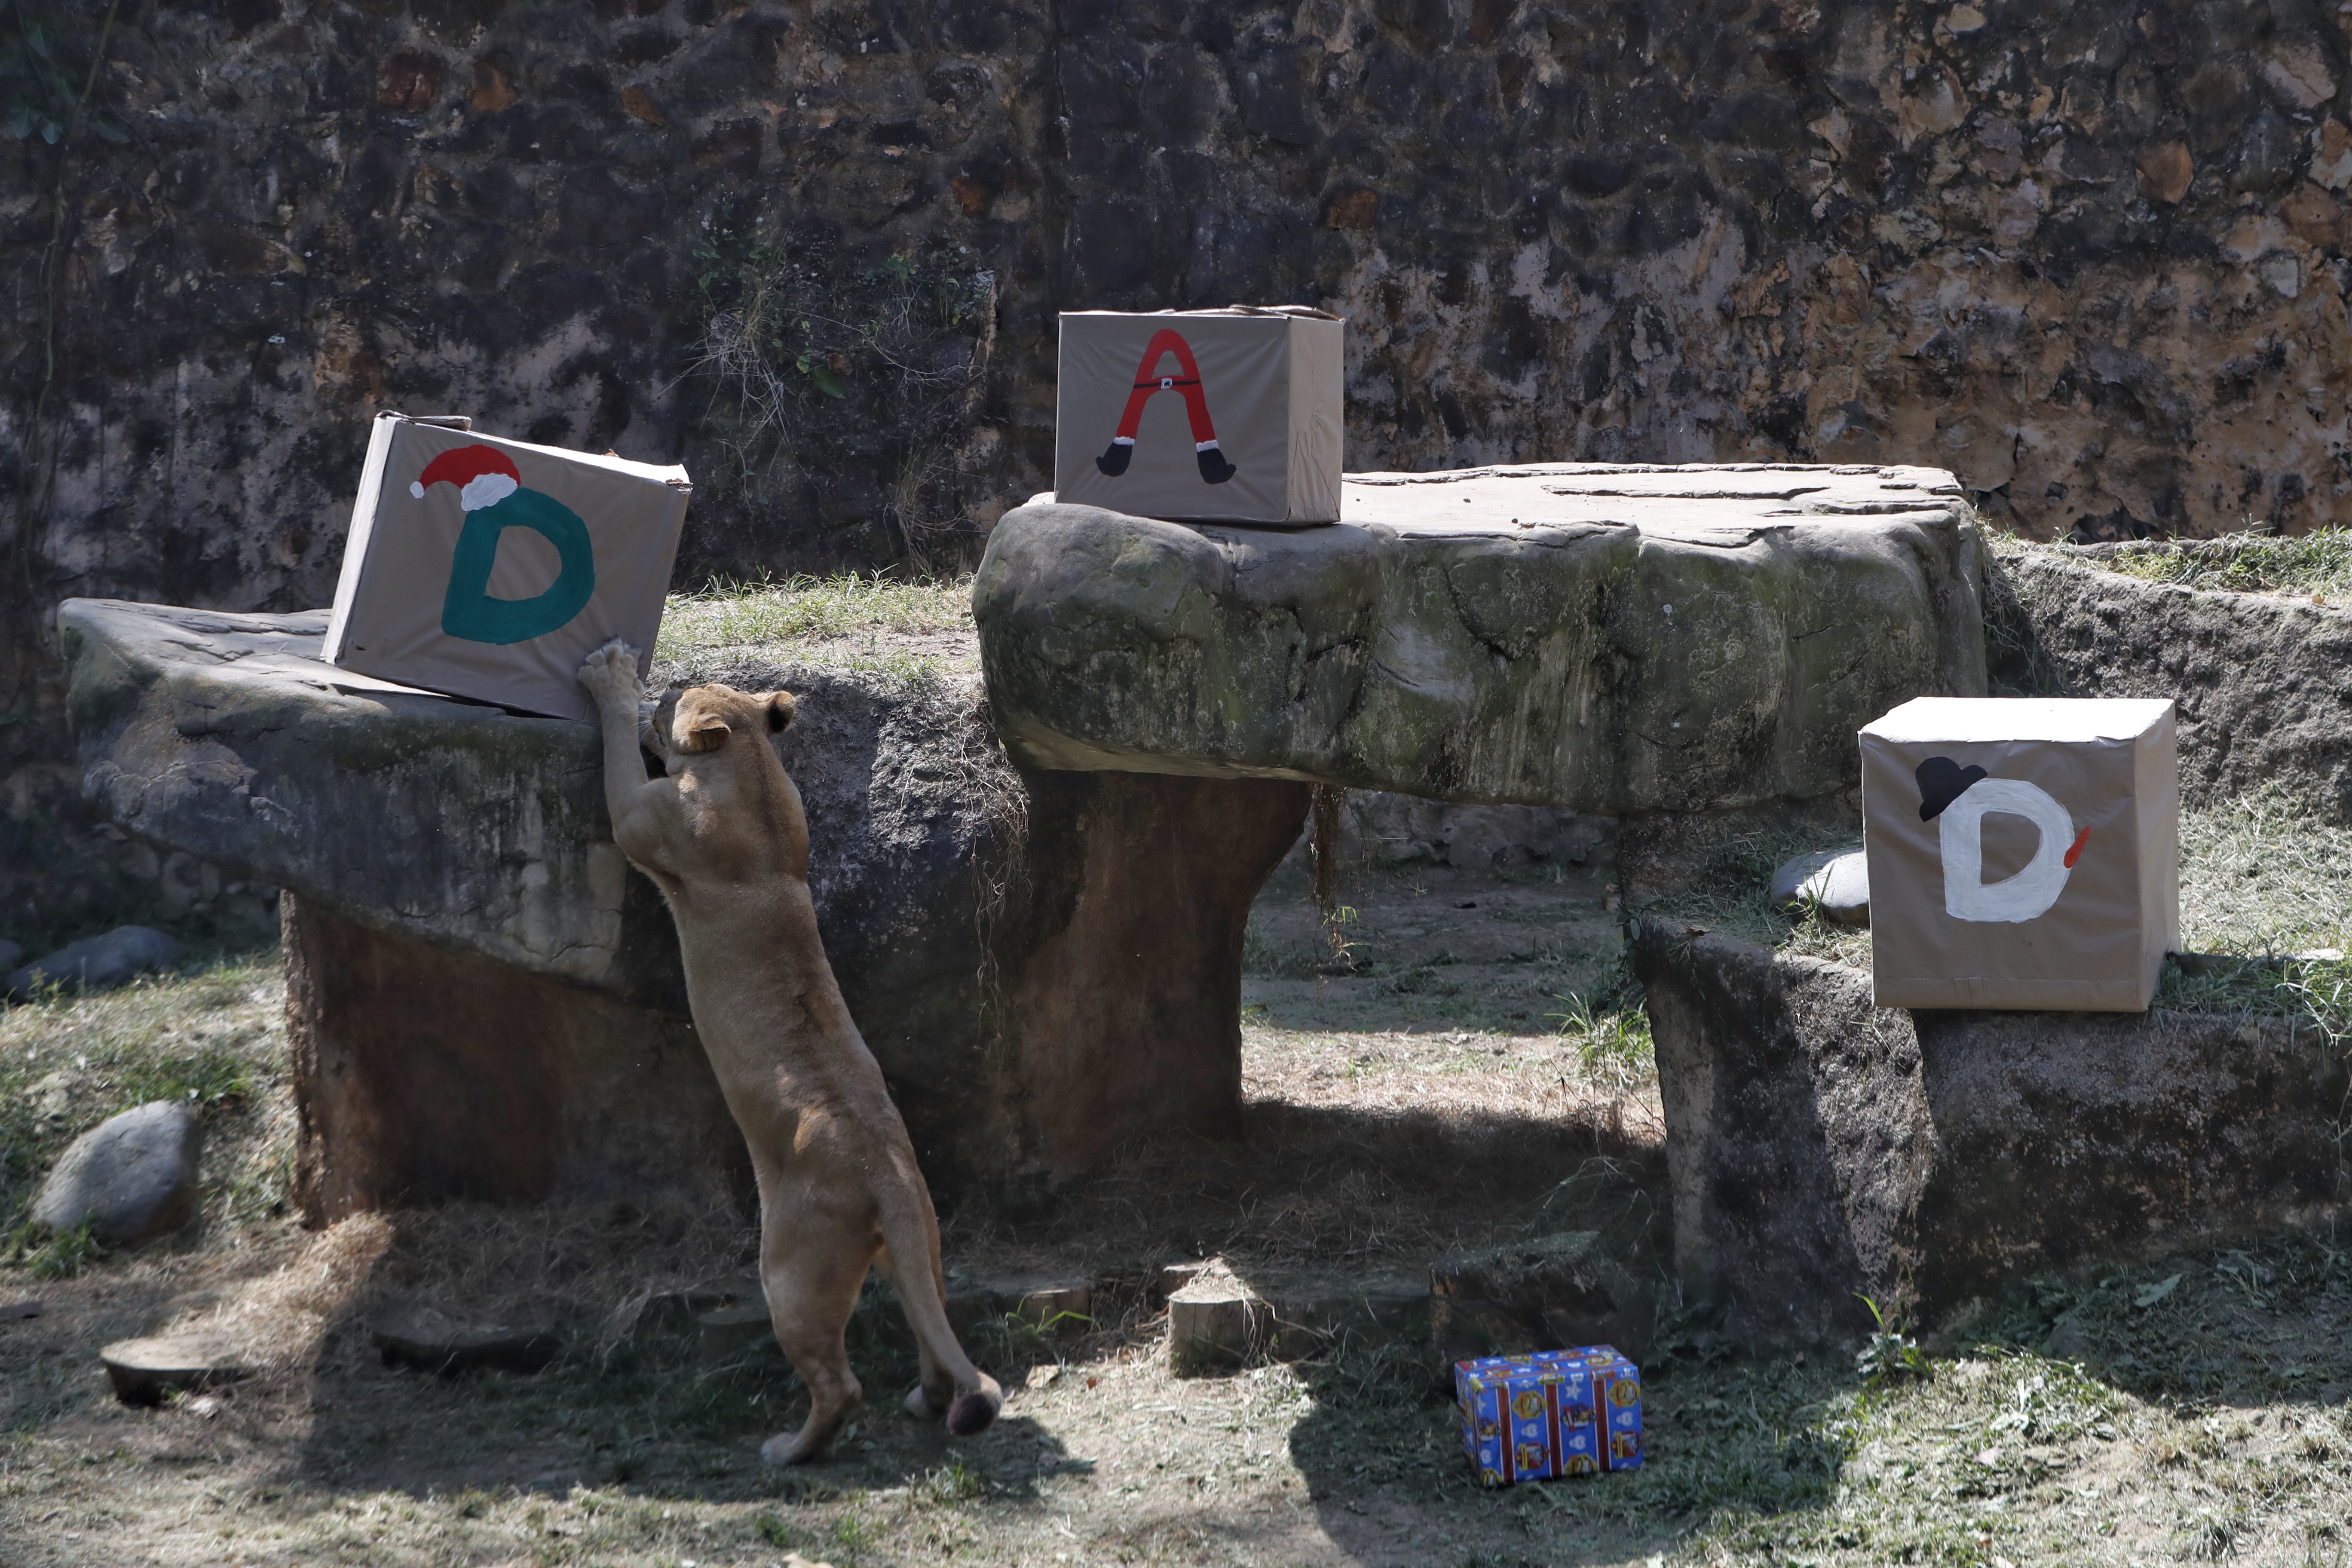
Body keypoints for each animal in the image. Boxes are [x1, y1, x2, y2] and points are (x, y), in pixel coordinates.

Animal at [578, 640, 1003, 1463]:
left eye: (670, 699)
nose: (659, 688)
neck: (752, 775)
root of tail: (889, 1176)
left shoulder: (644, 820)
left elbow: (617, 760)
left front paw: (612, 680)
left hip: (789, 1273)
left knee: (839, 1386)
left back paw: (787, 1450)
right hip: (919, 1247)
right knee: (932, 1329)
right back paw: (924, 1400)